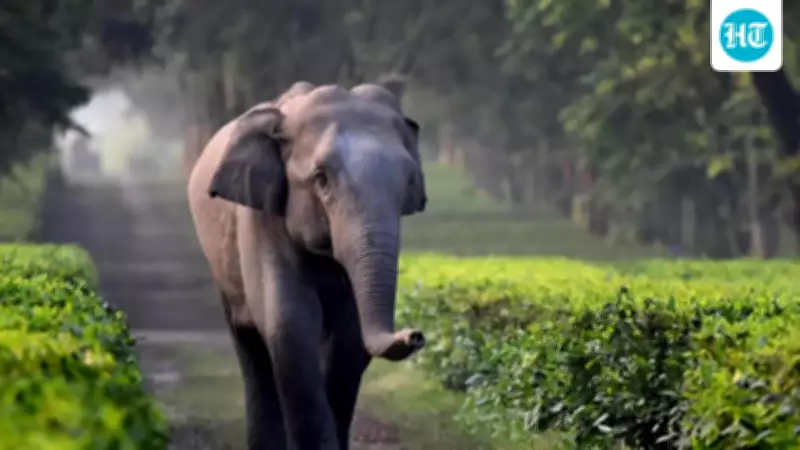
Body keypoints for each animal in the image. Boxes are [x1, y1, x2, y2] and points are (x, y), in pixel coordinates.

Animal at [186, 76, 428, 450]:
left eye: (408, 181)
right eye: (321, 179)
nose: (415, 335)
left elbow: (349, 338)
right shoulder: (260, 218)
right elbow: (288, 322)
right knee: (251, 350)